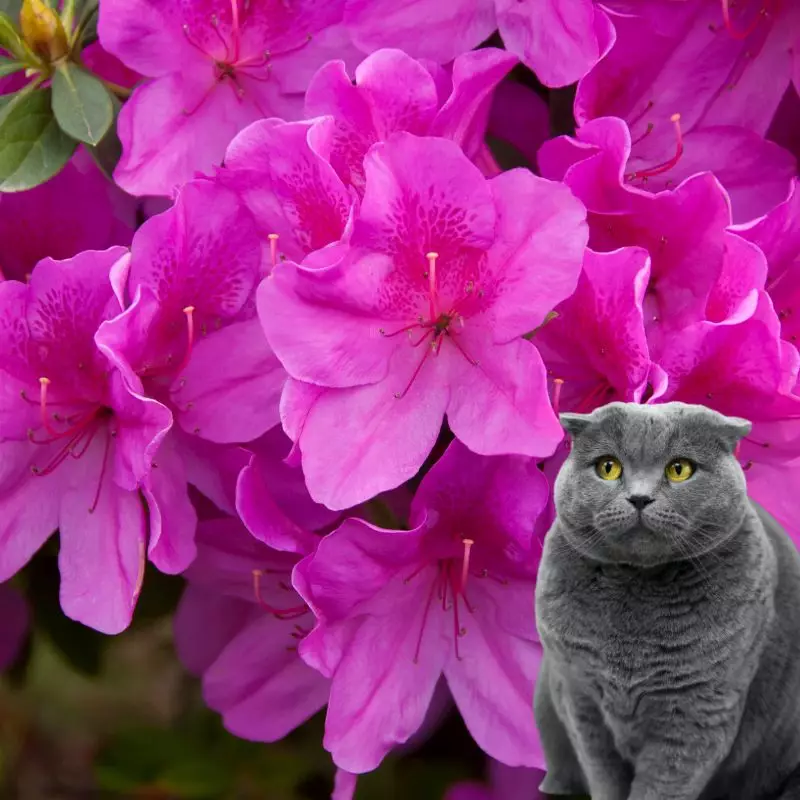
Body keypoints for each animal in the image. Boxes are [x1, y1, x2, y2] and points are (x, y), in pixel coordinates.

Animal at [536, 404, 800, 796]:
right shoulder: (579, 698)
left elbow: (662, 785)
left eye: (680, 469)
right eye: (608, 467)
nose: (640, 498)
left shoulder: (698, 711)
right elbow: (602, 774)